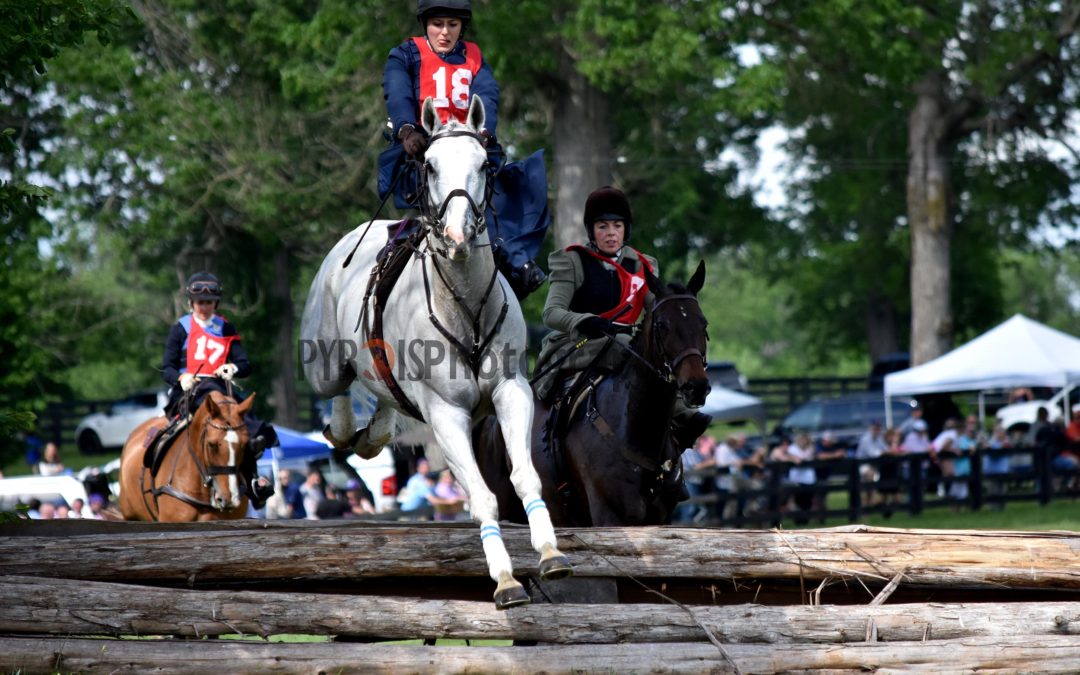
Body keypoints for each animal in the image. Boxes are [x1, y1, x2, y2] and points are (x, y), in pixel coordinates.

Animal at [300, 93, 570, 604]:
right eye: (429, 165)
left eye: (484, 164)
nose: (458, 236)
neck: (464, 303)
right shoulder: (446, 413)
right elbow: (483, 496)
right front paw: (506, 579)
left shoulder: (511, 391)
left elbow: (524, 476)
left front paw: (550, 553)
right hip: (323, 360)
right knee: (337, 389)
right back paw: (344, 429)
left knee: (384, 399)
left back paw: (374, 433)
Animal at [477, 262, 712, 527]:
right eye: (662, 325)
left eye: (703, 324)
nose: (696, 387)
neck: (638, 434)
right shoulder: (609, 516)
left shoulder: (661, 519)